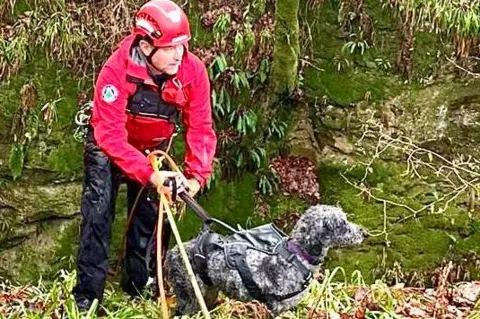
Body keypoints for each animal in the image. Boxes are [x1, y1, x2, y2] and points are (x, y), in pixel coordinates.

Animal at [165, 206, 368, 316]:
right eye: (342, 224)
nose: (365, 233)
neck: (297, 257)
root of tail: (173, 251)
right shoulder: (276, 308)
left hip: (208, 294)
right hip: (189, 296)